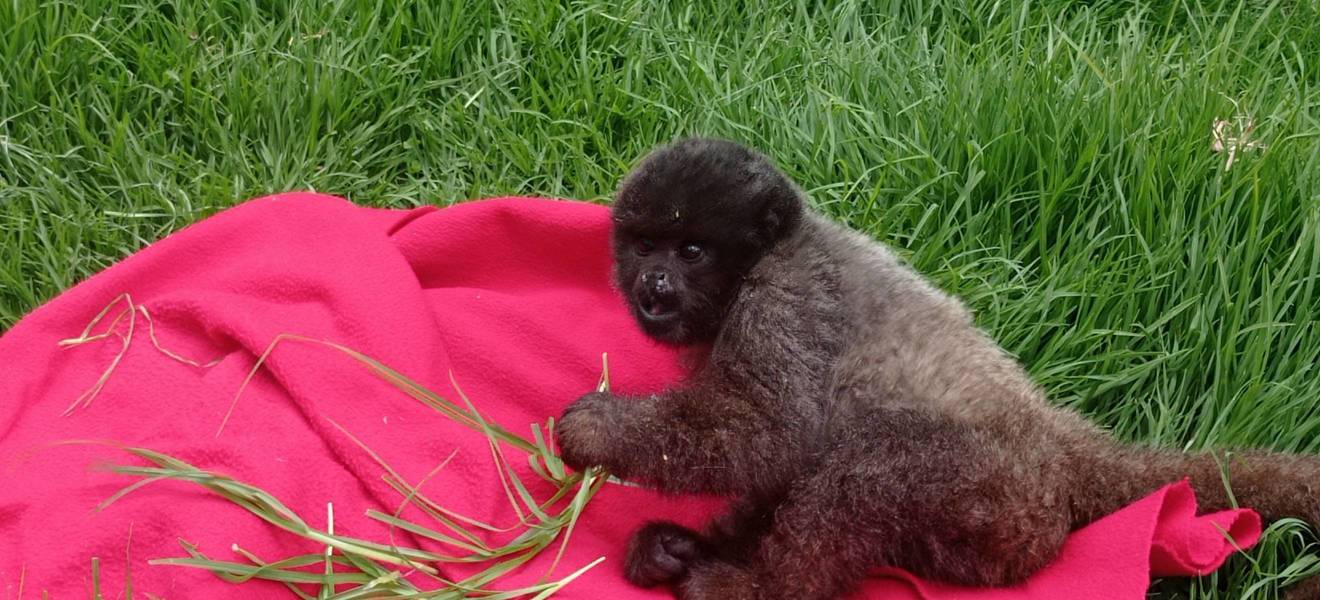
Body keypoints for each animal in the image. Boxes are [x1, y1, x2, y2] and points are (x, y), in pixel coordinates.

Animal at [554, 137, 1320, 599]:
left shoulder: (786, 295)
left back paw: (765, 585)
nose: (654, 285)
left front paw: (598, 429)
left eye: (691, 250)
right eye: (645, 244)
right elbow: (777, 450)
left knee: (870, 467)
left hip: (1002, 510)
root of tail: (1059, 444)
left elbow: (766, 435)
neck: (770, 254)